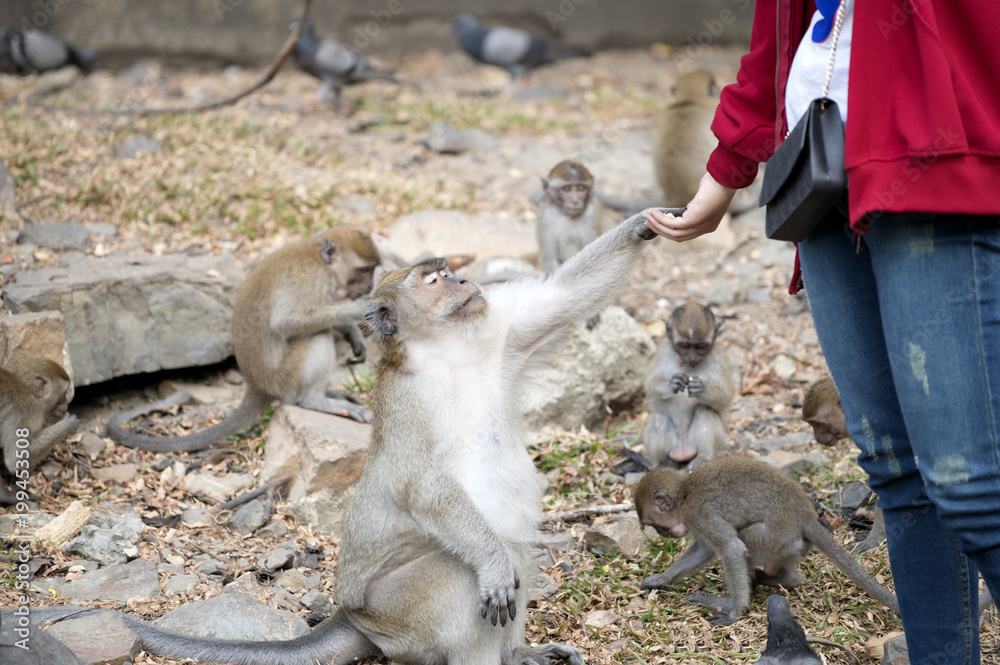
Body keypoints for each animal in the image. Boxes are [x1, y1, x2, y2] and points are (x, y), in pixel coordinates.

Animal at [108, 225, 381, 453]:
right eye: (364, 270)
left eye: (371, 270)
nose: (369, 287)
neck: (321, 261)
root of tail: (256, 385)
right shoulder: (313, 280)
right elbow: (285, 322)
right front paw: (359, 309)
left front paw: (352, 332)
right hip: (284, 379)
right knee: (317, 337)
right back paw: (314, 400)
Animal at [634, 455, 899, 626]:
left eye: (656, 525)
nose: (664, 534)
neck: (684, 492)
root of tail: (806, 516)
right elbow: (704, 550)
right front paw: (661, 580)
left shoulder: (697, 513)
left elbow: (731, 548)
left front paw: (734, 611)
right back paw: (781, 579)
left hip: (775, 537)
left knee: (746, 538)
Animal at [642, 302, 736, 469]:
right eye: (685, 345)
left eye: (700, 346)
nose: (692, 357)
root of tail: (683, 447)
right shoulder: (663, 350)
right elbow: (650, 385)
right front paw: (673, 383)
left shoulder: (719, 356)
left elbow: (726, 397)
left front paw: (701, 389)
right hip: (672, 445)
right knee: (659, 418)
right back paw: (661, 463)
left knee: (705, 410)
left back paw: (703, 458)